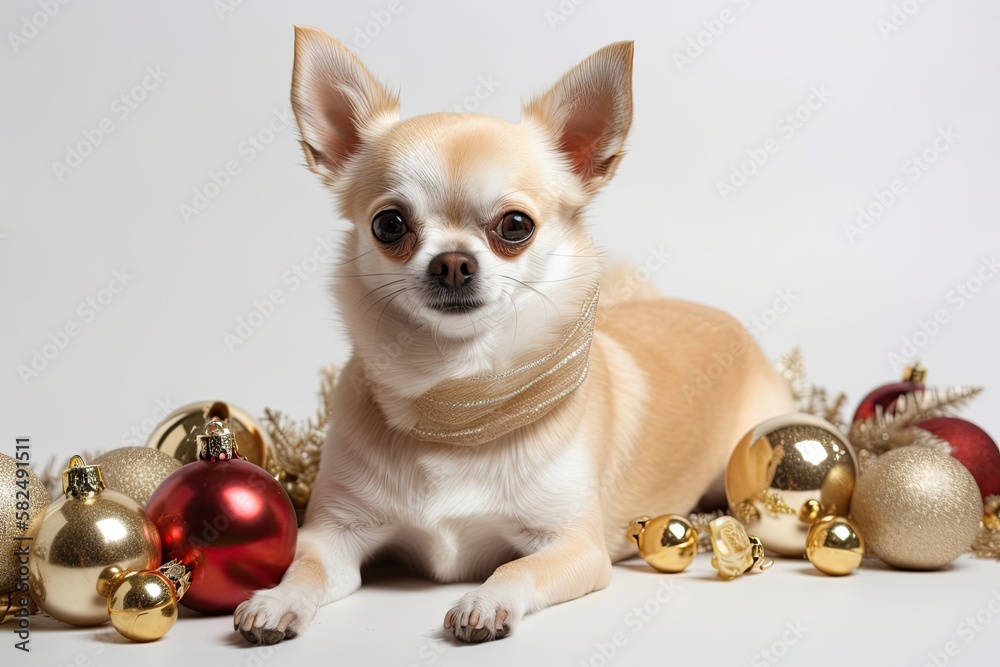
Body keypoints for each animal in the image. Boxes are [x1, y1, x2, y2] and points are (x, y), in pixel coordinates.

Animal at [234, 27, 788, 648]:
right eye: (389, 225)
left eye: (515, 226)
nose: (452, 262)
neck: (457, 403)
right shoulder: (333, 534)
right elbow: (303, 565)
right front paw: (277, 600)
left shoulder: (575, 545)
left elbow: (517, 567)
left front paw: (485, 601)